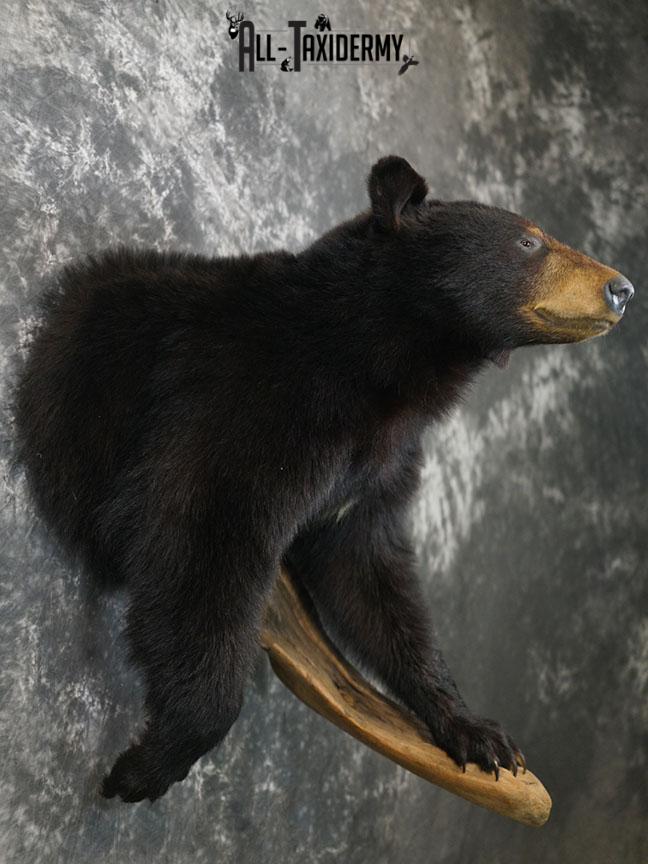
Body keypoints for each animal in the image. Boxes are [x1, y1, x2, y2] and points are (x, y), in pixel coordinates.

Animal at [12, 155, 634, 803]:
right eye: (530, 241)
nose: (622, 288)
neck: (381, 370)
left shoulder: (379, 467)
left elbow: (370, 574)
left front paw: (475, 730)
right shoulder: (248, 407)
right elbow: (198, 537)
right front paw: (150, 762)